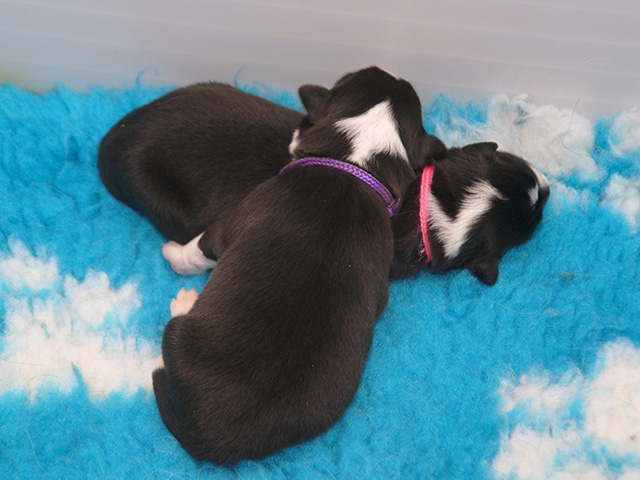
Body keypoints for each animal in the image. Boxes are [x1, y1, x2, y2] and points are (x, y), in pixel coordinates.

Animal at [144, 66, 444, 463]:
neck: (354, 164)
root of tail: (215, 443)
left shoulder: (231, 223)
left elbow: (198, 249)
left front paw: (173, 254)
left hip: (177, 336)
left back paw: (183, 302)